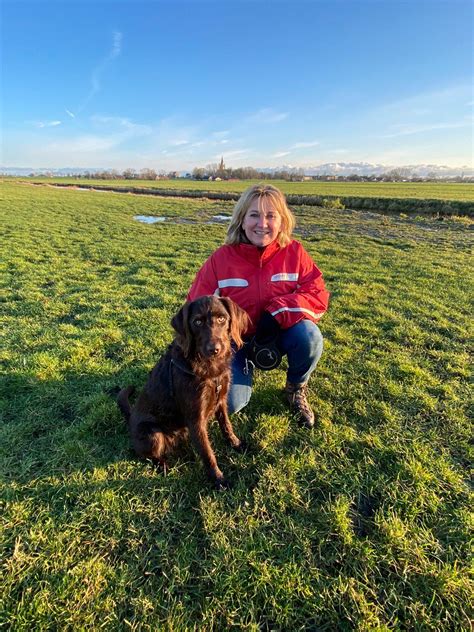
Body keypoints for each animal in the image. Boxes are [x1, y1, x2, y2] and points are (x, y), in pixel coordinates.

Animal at [117, 296, 250, 488]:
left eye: (222, 319)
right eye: (197, 322)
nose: (214, 349)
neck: (208, 368)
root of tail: (130, 417)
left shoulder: (221, 400)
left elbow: (226, 426)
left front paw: (236, 443)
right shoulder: (195, 420)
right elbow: (208, 453)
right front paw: (218, 479)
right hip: (153, 435)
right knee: (149, 455)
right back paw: (163, 465)